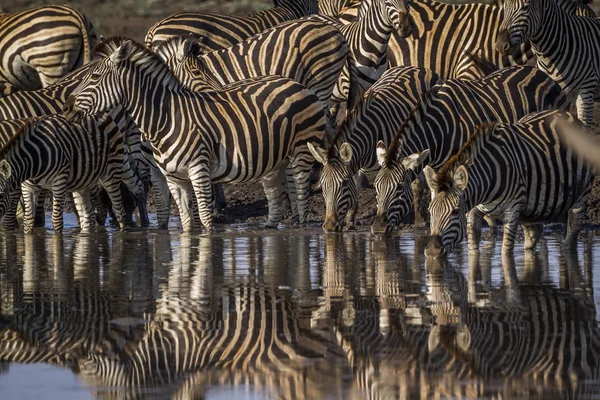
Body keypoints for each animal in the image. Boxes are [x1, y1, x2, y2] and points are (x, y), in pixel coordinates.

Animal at [67, 39, 326, 233]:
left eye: (94, 77)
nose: (69, 105)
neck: (164, 119)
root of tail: (295, 82)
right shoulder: (173, 178)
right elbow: (184, 222)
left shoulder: (198, 170)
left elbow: (205, 220)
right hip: (276, 157)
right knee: (278, 191)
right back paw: (274, 225)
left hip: (302, 151)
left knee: (301, 194)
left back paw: (299, 226)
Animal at [310, 65, 440, 231]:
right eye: (323, 185)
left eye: (344, 183)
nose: (329, 227)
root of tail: (416, 68)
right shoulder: (358, 164)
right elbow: (357, 188)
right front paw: (350, 220)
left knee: (419, 182)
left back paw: (419, 219)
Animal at [424, 111, 592, 258]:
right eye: (430, 211)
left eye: (455, 211)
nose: (432, 251)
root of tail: (567, 114)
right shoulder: (474, 211)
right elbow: (473, 251)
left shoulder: (512, 211)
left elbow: (506, 253)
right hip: (530, 209)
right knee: (533, 233)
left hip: (581, 196)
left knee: (572, 233)